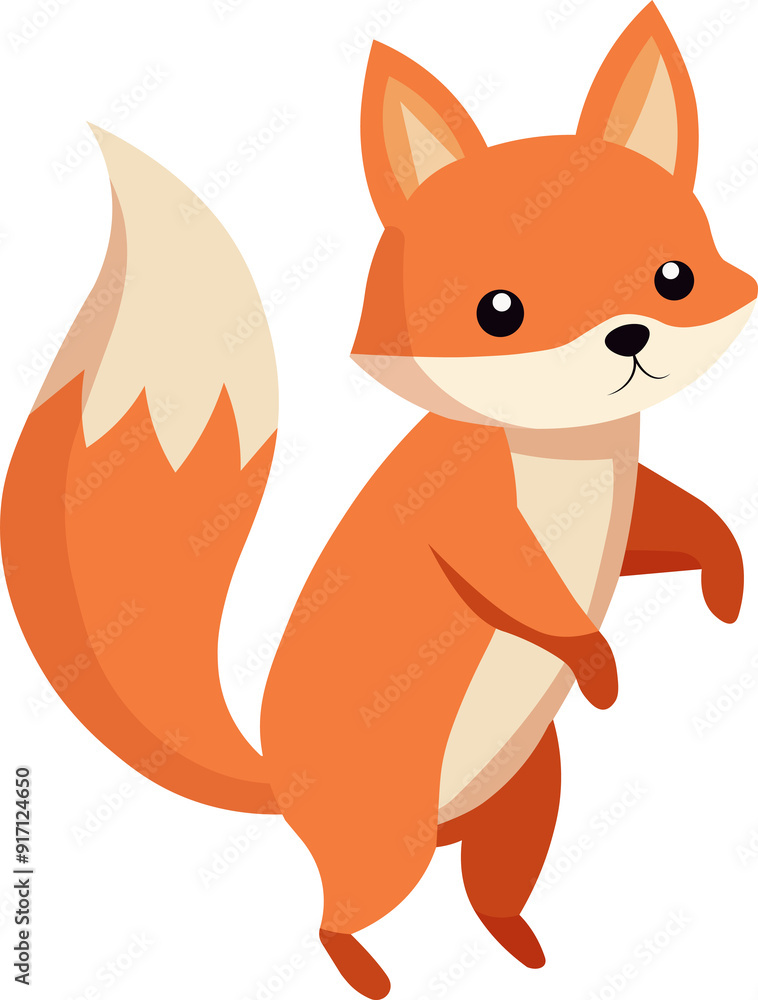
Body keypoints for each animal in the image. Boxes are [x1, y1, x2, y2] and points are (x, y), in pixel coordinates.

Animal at [2, 3, 756, 997]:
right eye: (498, 310)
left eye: (675, 276)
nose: (628, 338)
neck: (565, 453)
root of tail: (278, 781)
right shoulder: (468, 514)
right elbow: (518, 584)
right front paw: (595, 664)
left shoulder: (628, 505)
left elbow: (686, 527)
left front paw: (724, 584)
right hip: (390, 838)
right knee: (335, 915)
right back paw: (367, 974)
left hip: (530, 786)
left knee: (490, 882)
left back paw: (519, 945)